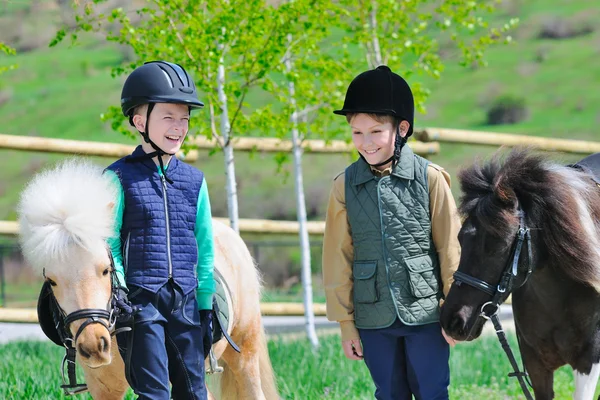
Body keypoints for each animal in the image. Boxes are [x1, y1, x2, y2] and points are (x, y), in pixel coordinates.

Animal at [440, 148, 600, 398]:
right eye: (461, 238)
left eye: (497, 244)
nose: (452, 321)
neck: (558, 297)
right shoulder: (536, 365)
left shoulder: (588, 362)